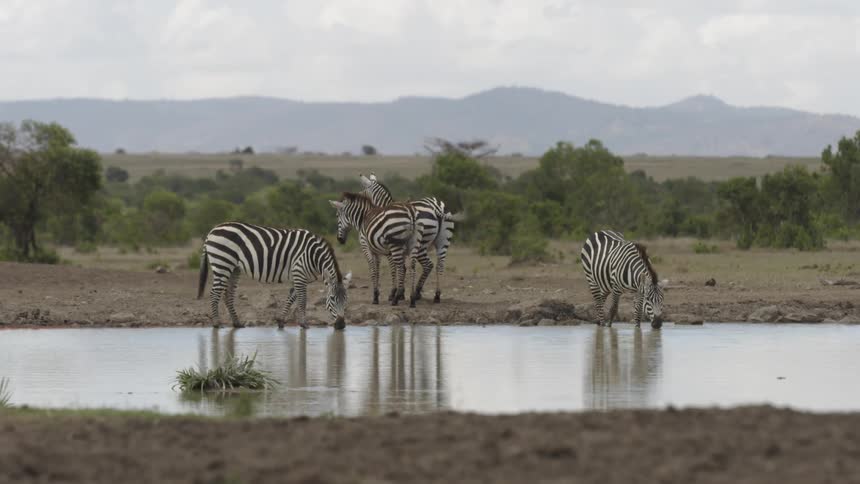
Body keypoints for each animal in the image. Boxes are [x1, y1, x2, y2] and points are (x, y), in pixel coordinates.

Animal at [197, 222, 352, 330]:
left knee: (228, 295)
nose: (341, 325)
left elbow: (291, 298)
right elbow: (302, 300)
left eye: (346, 299)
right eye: (332, 299)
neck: (313, 255)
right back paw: (217, 323)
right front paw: (304, 324)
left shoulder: (300, 277)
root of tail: (212, 231)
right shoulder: (299, 272)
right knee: (214, 293)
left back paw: (237, 323)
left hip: (234, 268)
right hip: (222, 263)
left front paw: (281, 321)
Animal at [358, 172, 460, 304]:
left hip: (422, 244)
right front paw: (401, 293)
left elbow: (398, 268)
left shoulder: (392, 248)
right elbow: (403, 268)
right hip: (443, 241)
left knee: (428, 265)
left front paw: (396, 294)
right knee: (440, 265)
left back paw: (417, 293)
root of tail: (437, 207)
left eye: (362, 194)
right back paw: (436, 295)